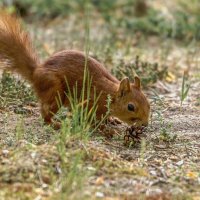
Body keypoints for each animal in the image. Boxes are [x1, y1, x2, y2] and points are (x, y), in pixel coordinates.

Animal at [0, 12, 150, 128]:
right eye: (131, 107)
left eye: (148, 102)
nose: (145, 124)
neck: (109, 95)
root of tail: (36, 72)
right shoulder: (90, 104)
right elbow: (93, 121)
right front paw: (107, 131)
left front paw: (111, 120)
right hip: (55, 90)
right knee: (45, 111)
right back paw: (54, 124)